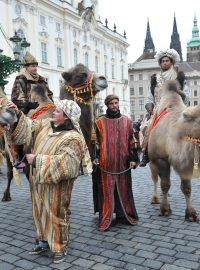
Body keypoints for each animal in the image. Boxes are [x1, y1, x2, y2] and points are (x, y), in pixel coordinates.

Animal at [148, 80, 200, 221]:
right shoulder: (160, 159)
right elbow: (165, 184)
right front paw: (165, 209)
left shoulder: (187, 164)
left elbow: (187, 188)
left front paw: (191, 213)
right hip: (150, 161)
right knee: (155, 178)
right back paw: (155, 198)